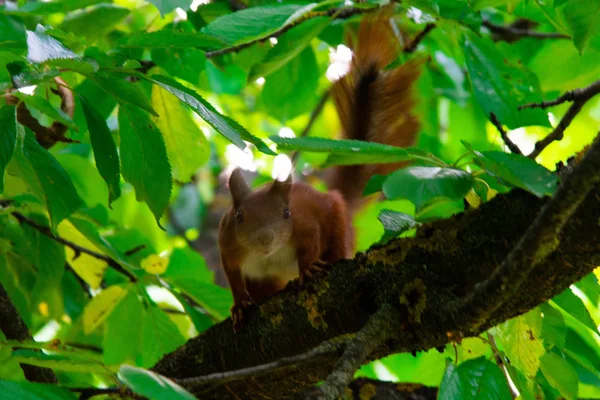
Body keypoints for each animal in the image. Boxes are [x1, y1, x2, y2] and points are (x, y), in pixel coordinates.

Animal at [219, 10, 422, 332]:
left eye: (286, 213)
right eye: (239, 216)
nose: (265, 239)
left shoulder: (305, 225)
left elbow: (309, 244)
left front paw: (309, 268)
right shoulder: (228, 245)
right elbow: (233, 277)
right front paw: (239, 305)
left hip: (338, 222)